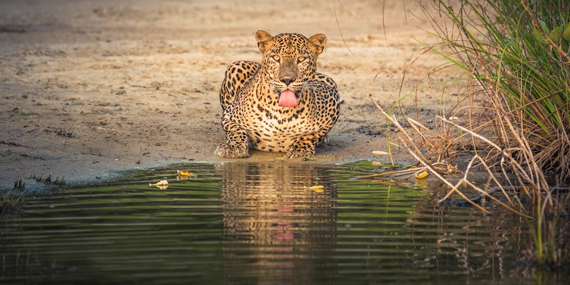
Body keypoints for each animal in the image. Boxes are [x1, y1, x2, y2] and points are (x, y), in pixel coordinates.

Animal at [213, 30, 338, 159]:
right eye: (276, 58)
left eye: (301, 59)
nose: (287, 79)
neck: (282, 111)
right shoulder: (228, 115)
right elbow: (236, 130)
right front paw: (233, 148)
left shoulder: (332, 102)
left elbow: (311, 135)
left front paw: (300, 150)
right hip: (236, 66)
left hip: (329, 80)